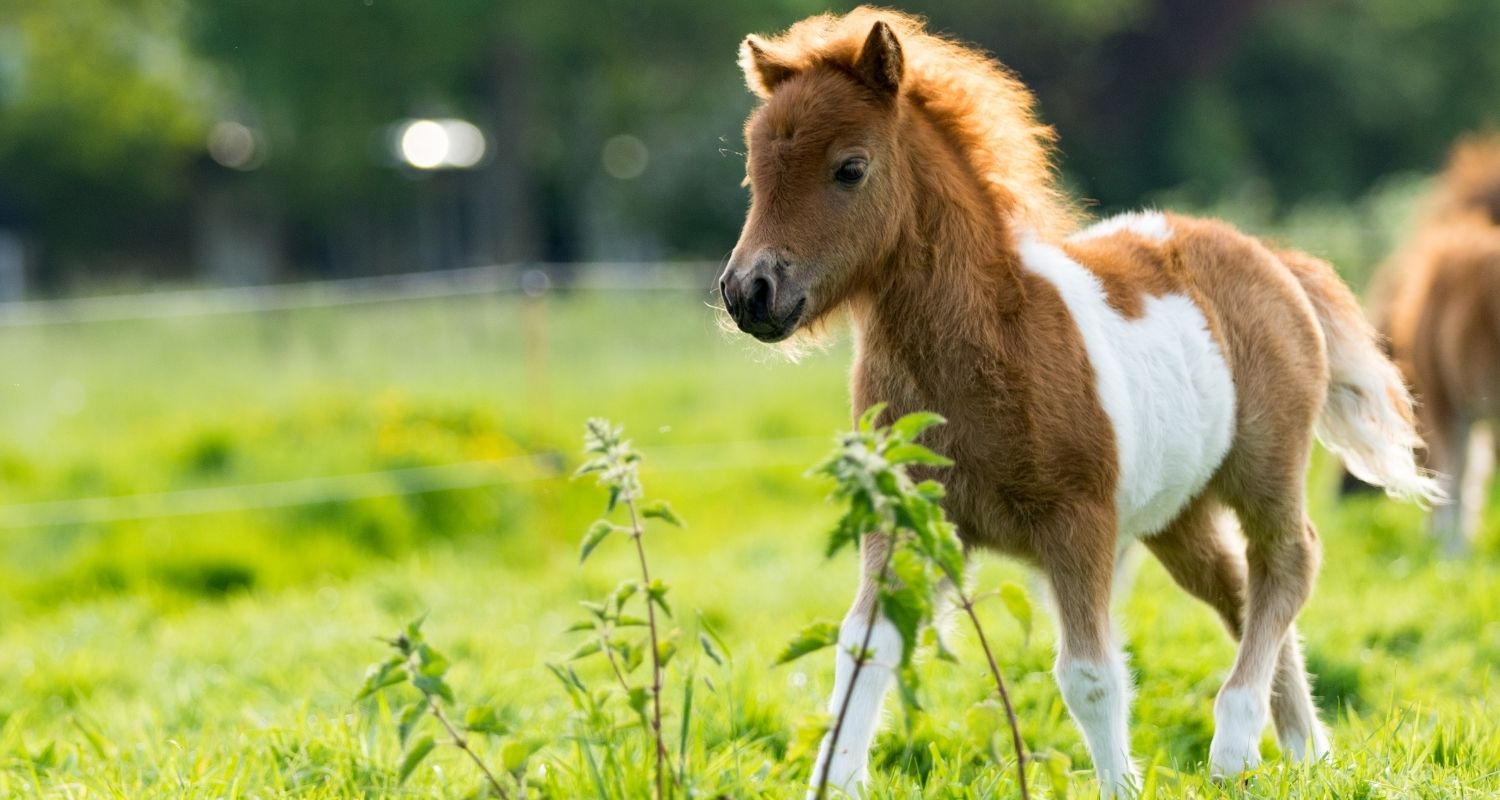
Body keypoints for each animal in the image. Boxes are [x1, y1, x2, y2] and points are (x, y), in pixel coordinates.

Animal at [714, 7, 1440, 798]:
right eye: (753, 171)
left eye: (849, 167)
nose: (750, 292)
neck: (989, 344)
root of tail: (1270, 256)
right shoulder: (908, 516)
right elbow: (866, 647)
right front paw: (835, 779)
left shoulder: (1079, 524)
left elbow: (1090, 677)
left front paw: (1121, 784)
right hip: (1178, 514)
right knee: (1237, 589)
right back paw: (1308, 752)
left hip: (1264, 468)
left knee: (1288, 564)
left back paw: (1235, 742)